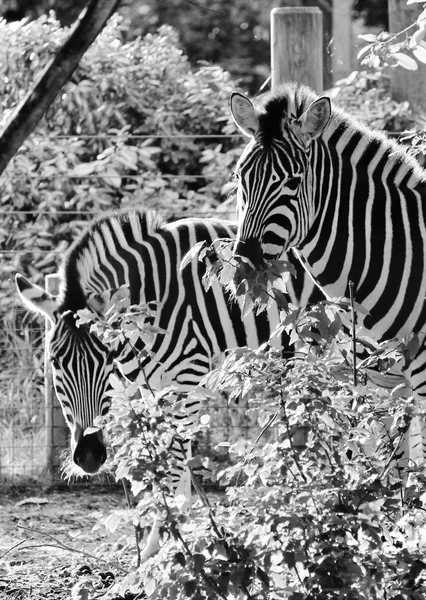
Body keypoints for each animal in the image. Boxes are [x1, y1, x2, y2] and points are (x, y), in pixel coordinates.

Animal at [16, 207, 322, 556]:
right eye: (55, 363)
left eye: (106, 360)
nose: (90, 456)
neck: (152, 300)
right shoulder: (151, 387)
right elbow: (159, 460)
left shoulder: (188, 379)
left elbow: (174, 463)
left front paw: (163, 545)